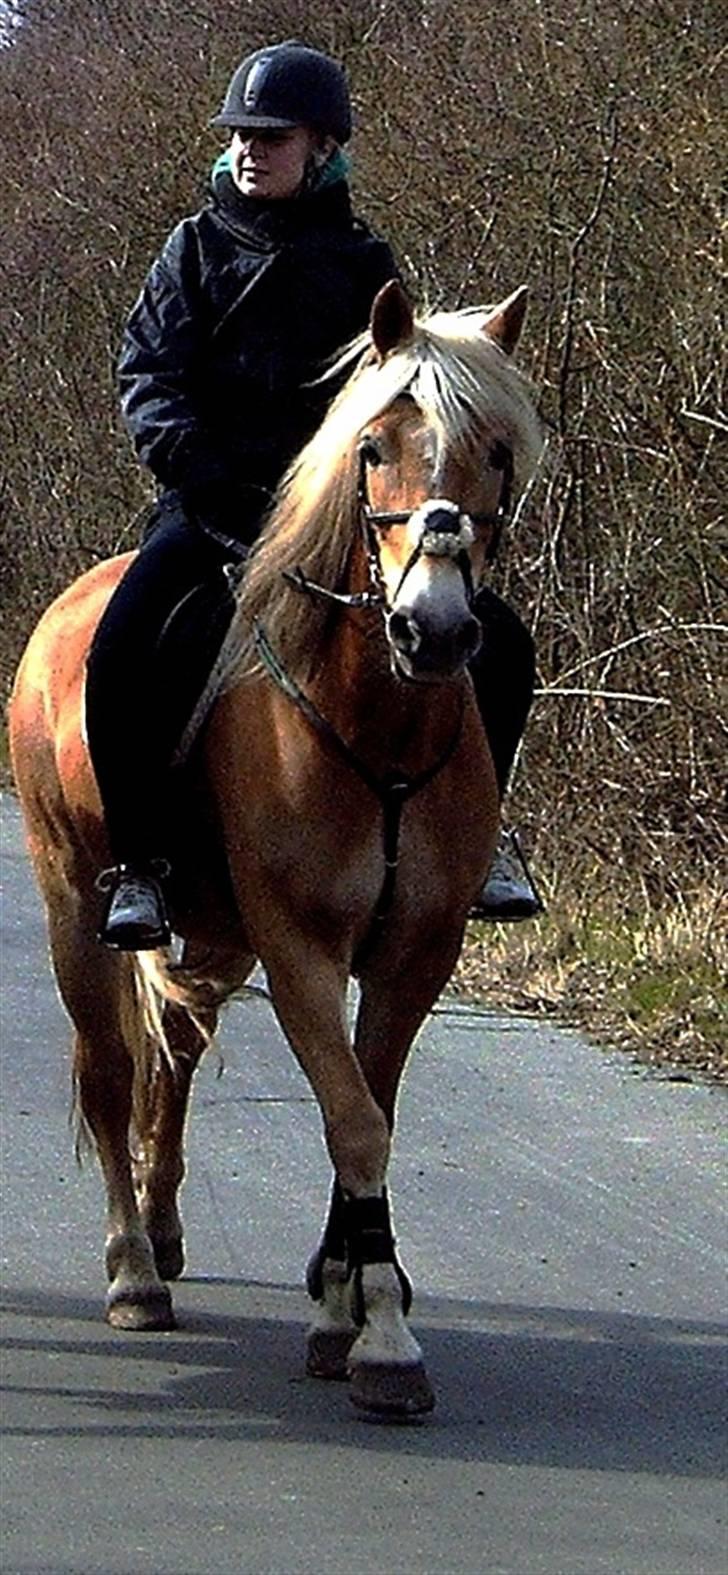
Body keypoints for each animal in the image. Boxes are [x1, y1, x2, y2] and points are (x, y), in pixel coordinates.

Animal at [8, 280, 542, 1417]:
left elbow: (370, 1107)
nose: (434, 628)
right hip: (75, 903)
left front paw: (344, 1296)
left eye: (494, 450)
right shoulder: (300, 948)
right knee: (110, 1072)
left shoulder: (413, 955)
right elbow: (354, 1119)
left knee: (176, 1051)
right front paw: (379, 1337)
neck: (380, 725)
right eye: (373, 446)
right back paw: (133, 1268)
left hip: (216, 930)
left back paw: (164, 1228)